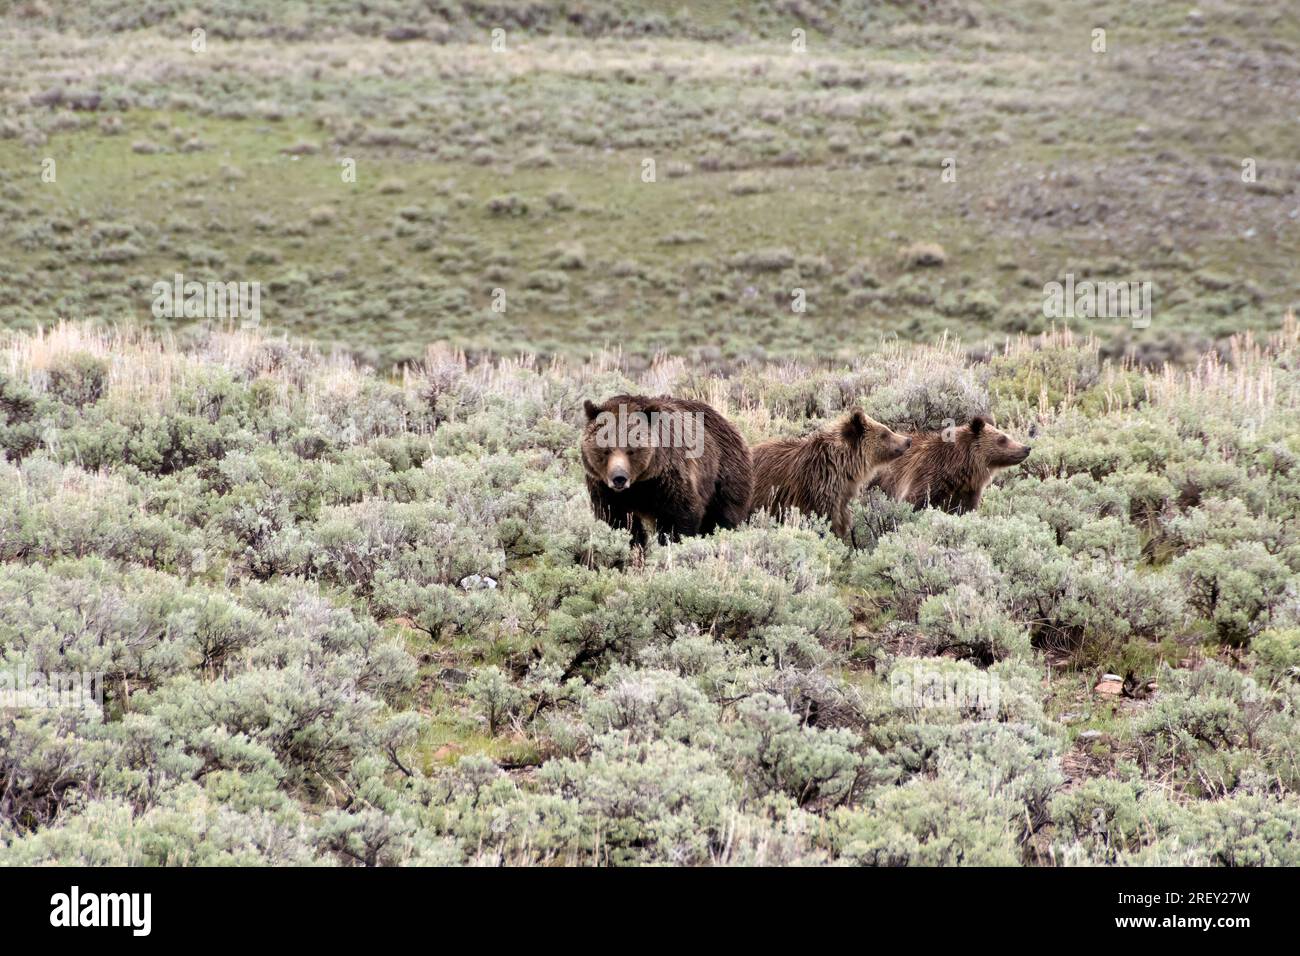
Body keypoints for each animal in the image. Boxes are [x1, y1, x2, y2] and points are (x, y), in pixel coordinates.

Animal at [581, 394, 752, 547]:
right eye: (606, 450)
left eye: (631, 450)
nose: (619, 478)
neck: (639, 484)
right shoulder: (605, 490)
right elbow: (616, 521)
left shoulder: (667, 480)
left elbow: (678, 517)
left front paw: (672, 544)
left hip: (723, 476)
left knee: (723, 516)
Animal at [748, 407, 912, 543]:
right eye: (885, 433)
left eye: (887, 429)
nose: (908, 440)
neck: (841, 467)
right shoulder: (814, 490)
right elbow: (823, 520)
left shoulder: (841, 496)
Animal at [870, 415, 1032, 513]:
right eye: (1002, 439)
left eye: (1007, 435)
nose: (1026, 448)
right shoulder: (926, 476)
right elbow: (915, 501)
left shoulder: (967, 491)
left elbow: (965, 509)